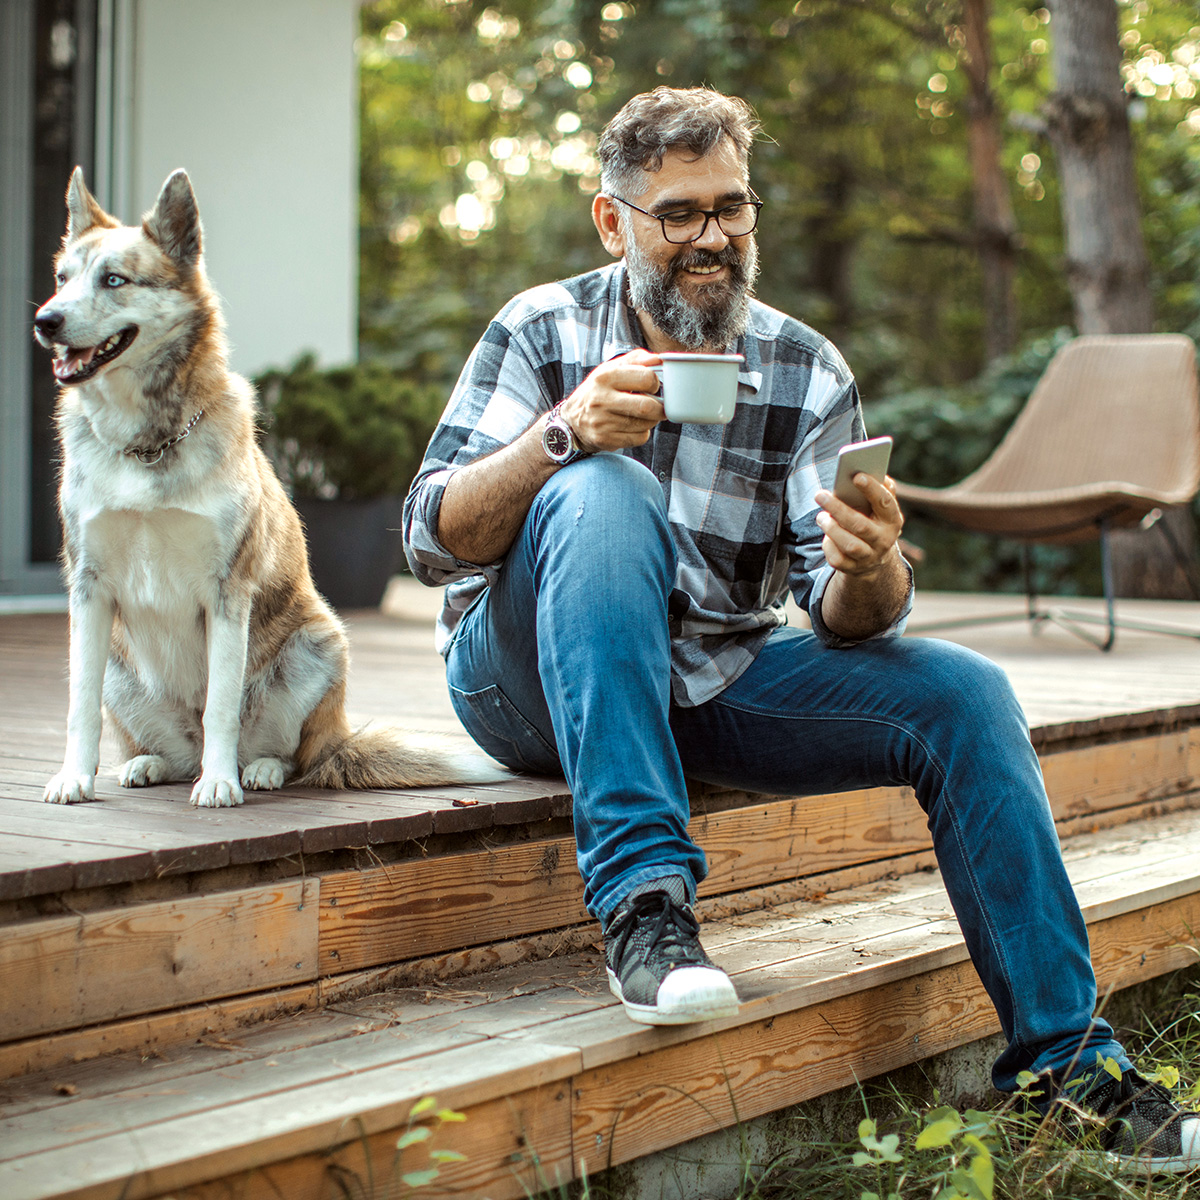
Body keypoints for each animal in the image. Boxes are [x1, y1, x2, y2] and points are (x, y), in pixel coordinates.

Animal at [32, 166, 501, 806]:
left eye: (114, 280)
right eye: (62, 279)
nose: (45, 321)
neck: (148, 445)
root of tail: (338, 738)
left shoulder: (227, 592)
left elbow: (221, 707)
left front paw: (220, 785)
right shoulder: (89, 589)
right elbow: (78, 706)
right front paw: (74, 778)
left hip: (319, 642)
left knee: (287, 753)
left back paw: (255, 770)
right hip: (118, 669)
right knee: (163, 746)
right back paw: (151, 763)